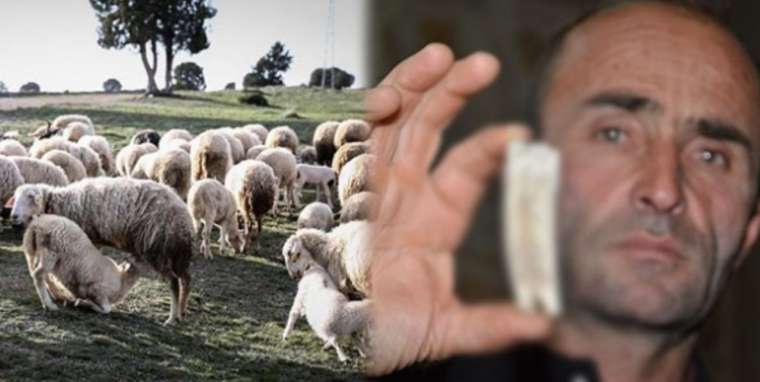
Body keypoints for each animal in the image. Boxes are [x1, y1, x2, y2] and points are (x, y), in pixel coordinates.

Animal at [10, 179, 194, 326]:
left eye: (30, 197)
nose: (13, 216)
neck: (59, 203)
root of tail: (185, 217)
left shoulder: (88, 236)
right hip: (176, 255)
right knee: (186, 279)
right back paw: (182, 312)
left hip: (158, 249)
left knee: (174, 282)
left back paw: (171, 318)